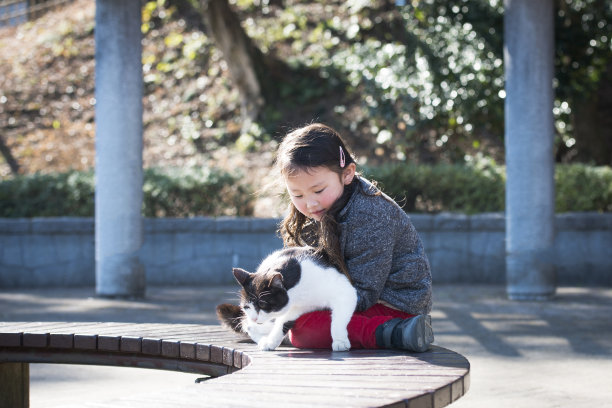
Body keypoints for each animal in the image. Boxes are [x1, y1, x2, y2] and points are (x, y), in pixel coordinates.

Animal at [216, 247, 356, 352]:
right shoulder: (294, 307)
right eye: (247, 307)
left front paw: (340, 341)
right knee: (250, 326)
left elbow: (338, 319)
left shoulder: (345, 292)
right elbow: (281, 322)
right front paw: (270, 341)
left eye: (263, 304)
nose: (254, 318)